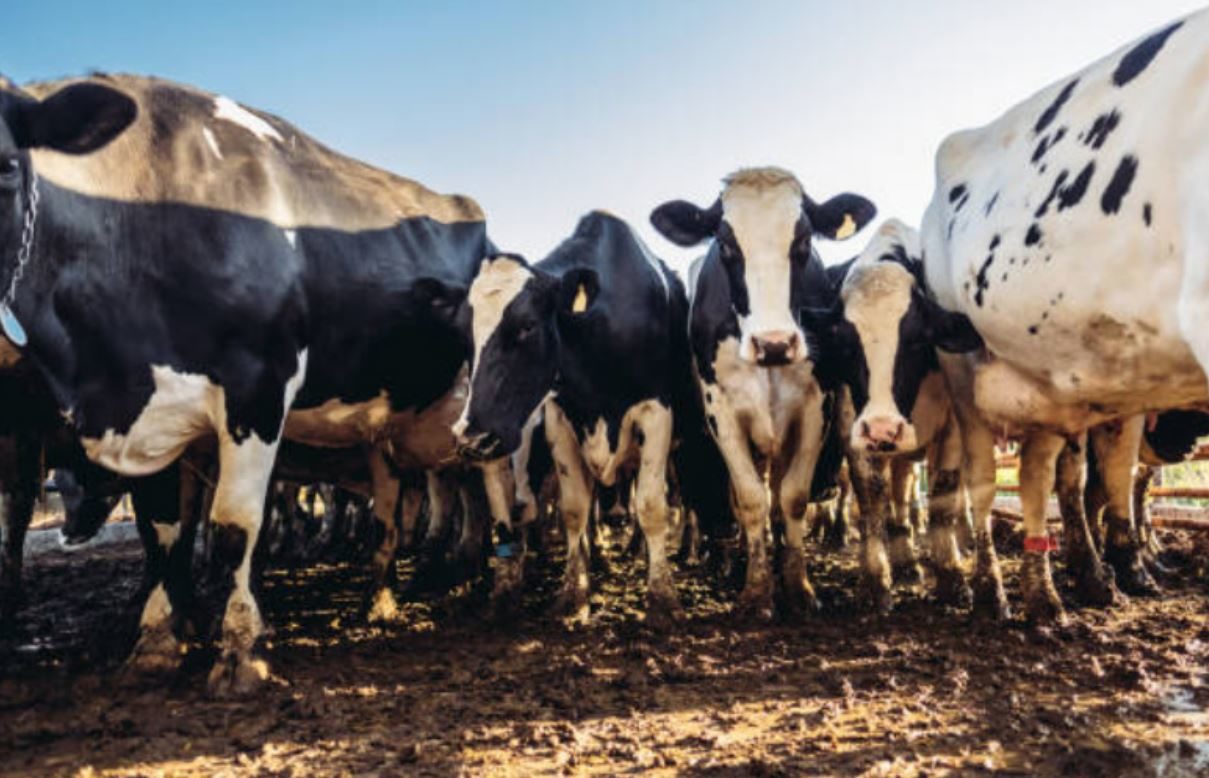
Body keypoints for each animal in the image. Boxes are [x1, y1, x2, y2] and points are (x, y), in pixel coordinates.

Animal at [0, 73, 500, 691]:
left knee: (484, 482)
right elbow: (162, 531)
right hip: (381, 432)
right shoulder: (155, 417)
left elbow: (235, 526)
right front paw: (157, 640)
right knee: (393, 505)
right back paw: (384, 599)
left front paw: (239, 649)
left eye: (6, 167)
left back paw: (484, 578)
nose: (70, 533)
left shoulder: (258, 387)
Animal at [652, 170, 880, 618]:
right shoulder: (721, 411)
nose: (773, 344)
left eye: (804, 241)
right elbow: (751, 499)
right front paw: (756, 591)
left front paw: (797, 587)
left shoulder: (816, 406)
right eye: (725, 244)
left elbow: (791, 498)